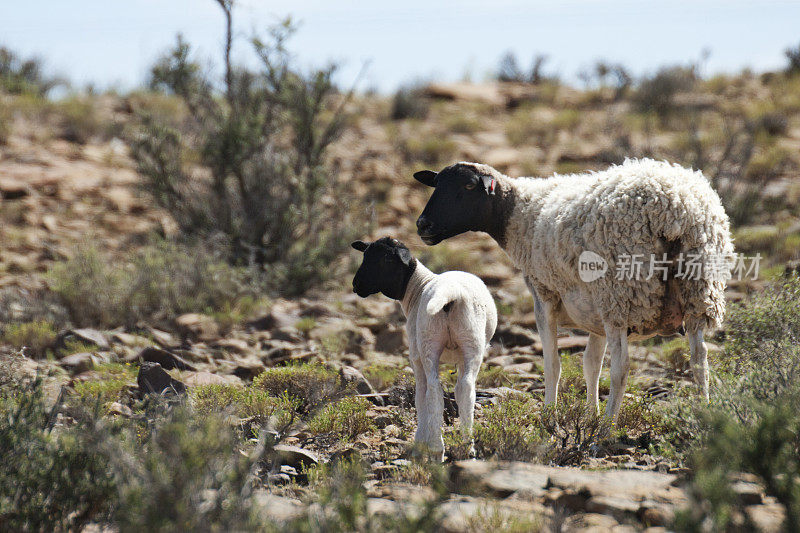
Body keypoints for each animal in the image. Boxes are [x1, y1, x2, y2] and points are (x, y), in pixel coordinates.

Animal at [352, 237, 496, 458]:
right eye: (366, 255)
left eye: (384, 259)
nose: (356, 285)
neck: (417, 287)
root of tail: (452, 293)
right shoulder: (461, 357)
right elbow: (457, 390)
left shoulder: (415, 356)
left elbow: (420, 396)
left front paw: (420, 440)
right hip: (472, 342)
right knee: (466, 389)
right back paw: (467, 446)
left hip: (428, 343)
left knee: (433, 390)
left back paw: (437, 448)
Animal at [416, 159, 736, 420]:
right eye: (437, 184)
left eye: (469, 186)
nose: (423, 225)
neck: (520, 214)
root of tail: (676, 208)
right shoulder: (595, 313)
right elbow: (591, 365)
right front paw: (590, 412)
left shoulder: (544, 295)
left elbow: (553, 364)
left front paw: (550, 414)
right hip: (698, 287)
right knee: (699, 359)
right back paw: (705, 413)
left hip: (621, 292)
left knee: (621, 368)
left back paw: (606, 430)